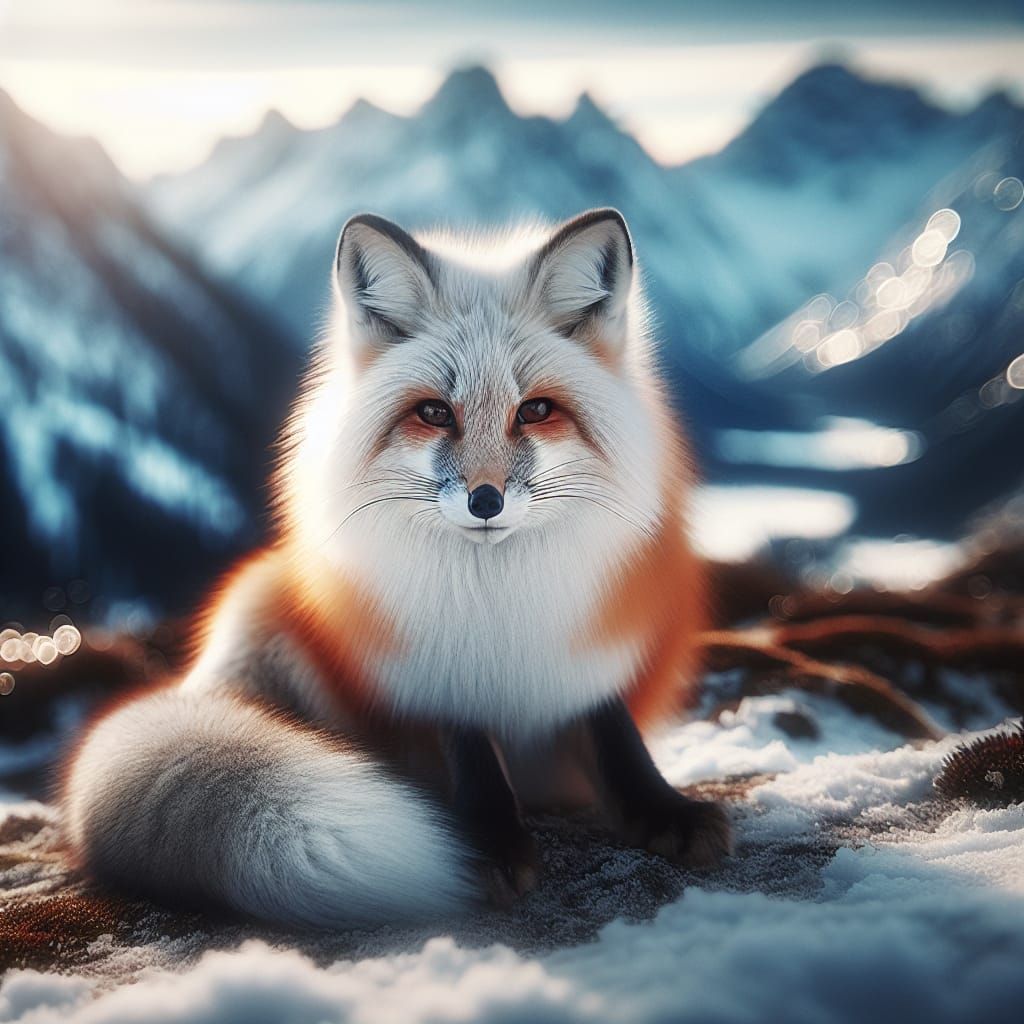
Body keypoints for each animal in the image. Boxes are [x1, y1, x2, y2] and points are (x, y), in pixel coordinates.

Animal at [63, 208, 731, 927]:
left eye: (536, 410)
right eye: (435, 412)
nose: (486, 500)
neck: (501, 606)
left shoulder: (594, 647)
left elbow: (615, 736)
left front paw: (662, 811)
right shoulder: (428, 667)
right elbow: (470, 753)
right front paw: (488, 845)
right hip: (265, 607)